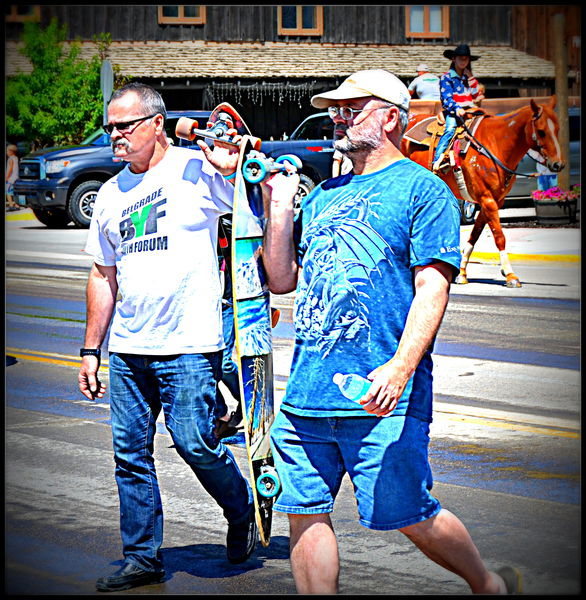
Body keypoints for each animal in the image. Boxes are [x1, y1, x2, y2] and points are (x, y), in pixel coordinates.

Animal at [400, 96, 564, 288]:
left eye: (558, 129)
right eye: (541, 131)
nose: (558, 164)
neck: (496, 144)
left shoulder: (493, 201)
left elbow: (475, 234)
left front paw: (462, 273)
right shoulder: (487, 199)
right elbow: (499, 236)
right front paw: (510, 275)